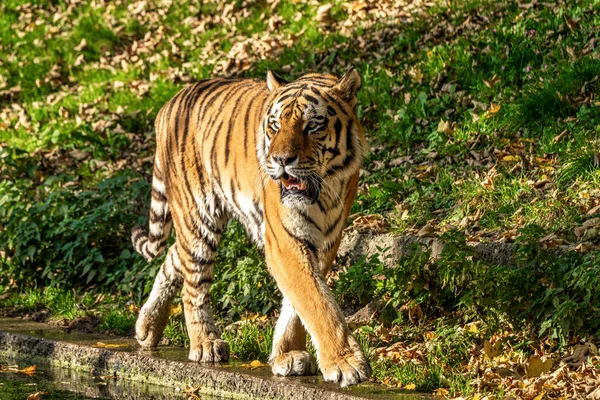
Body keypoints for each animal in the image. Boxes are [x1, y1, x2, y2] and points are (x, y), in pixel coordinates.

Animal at [132, 69, 370, 388]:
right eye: (275, 125)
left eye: (312, 125)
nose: (282, 160)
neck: (326, 189)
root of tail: (169, 103)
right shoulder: (284, 241)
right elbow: (317, 302)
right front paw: (346, 363)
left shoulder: (325, 241)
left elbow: (299, 303)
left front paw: (288, 355)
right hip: (198, 217)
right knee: (192, 287)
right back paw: (205, 344)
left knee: (172, 256)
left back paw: (147, 327)